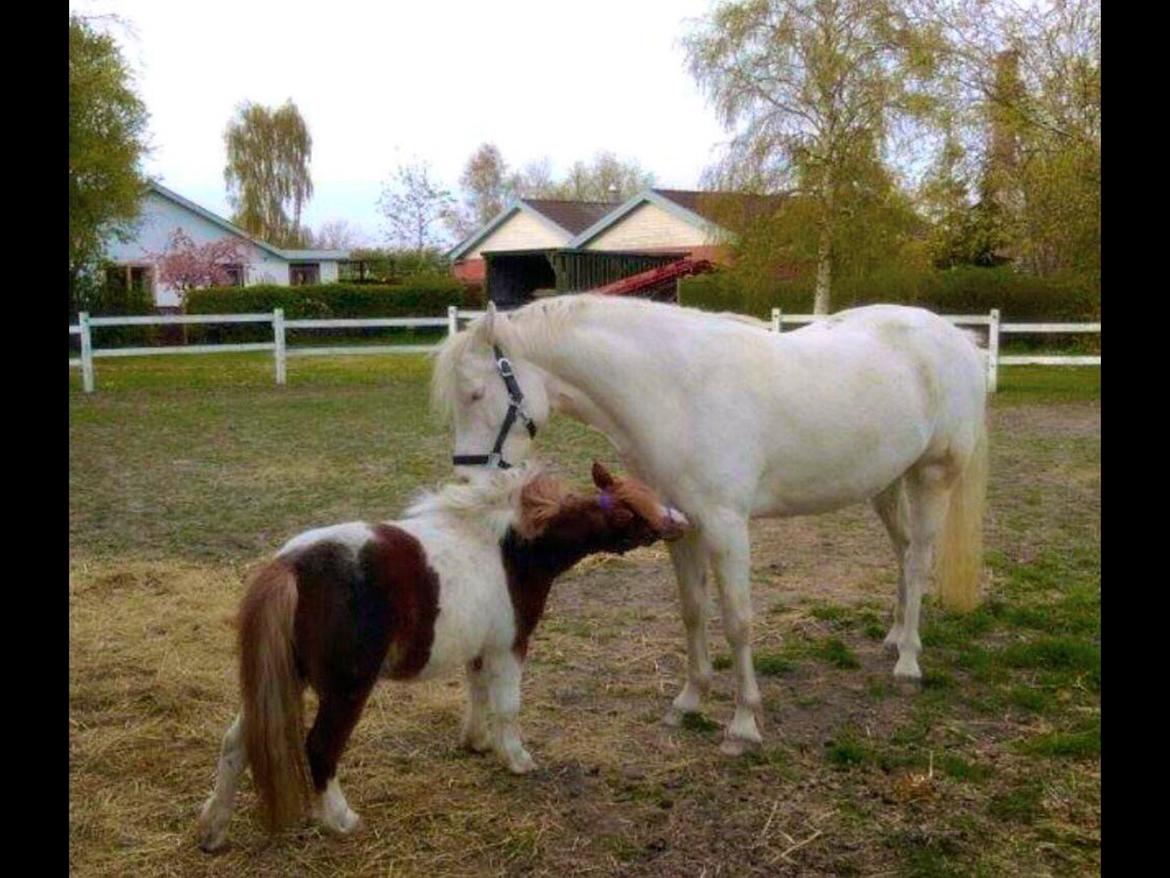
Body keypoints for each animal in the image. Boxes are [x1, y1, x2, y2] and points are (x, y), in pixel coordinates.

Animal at [193, 461, 683, 852]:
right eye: (632, 507)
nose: (680, 521)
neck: (512, 550)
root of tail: (291, 565)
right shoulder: (509, 647)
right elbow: (507, 706)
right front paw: (516, 758)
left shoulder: (480, 649)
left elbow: (477, 695)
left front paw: (476, 742)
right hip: (345, 690)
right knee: (321, 747)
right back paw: (341, 820)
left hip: (283, 680)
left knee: (236, 743)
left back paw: (213, 829)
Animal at [435, 296, 992, 758]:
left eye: (476, 393)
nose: (468, 482)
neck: (676, 391)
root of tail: (957, 338)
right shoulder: (679, 525)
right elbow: (693, 612)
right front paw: (689, 701)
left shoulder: (727, 527)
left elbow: (738, 621)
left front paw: (744, 724)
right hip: (886, 483)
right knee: (903, 553)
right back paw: (895, 636)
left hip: (932, 477)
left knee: (918, 561)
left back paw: (909, 662)